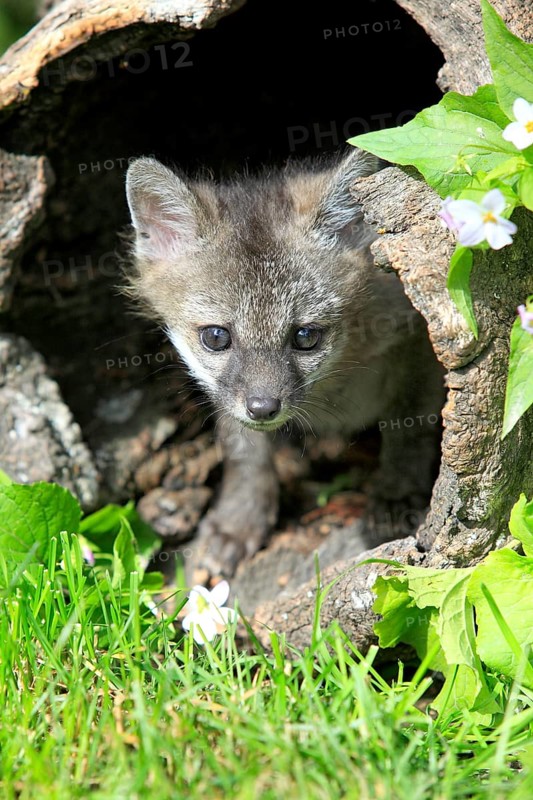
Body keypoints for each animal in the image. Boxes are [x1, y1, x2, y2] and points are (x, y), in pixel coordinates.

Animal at [124, 149, 445, 577]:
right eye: (216, 337)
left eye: (305, 336)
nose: (263, 408)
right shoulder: (230, 401)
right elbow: (245, 453)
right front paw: (239, 521)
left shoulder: (415, 342)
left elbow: (408, 429)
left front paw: (396, 495)